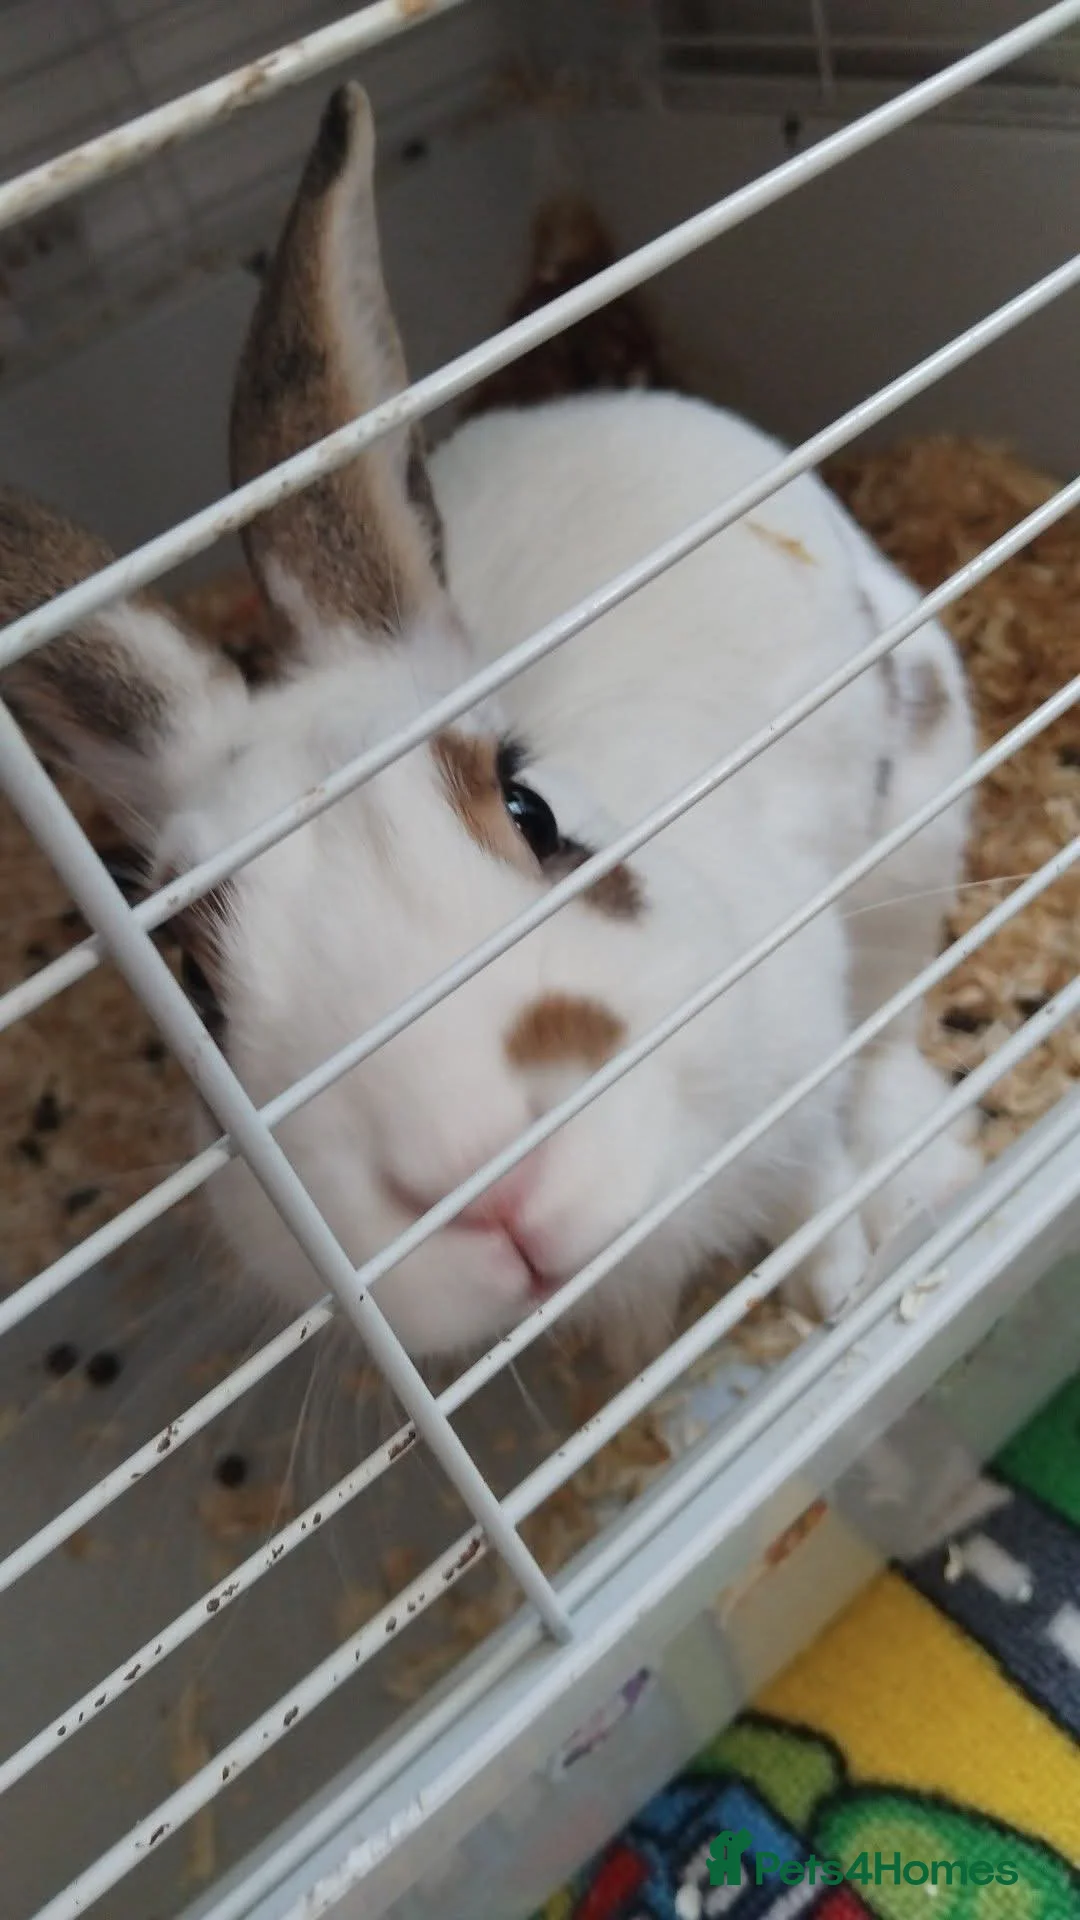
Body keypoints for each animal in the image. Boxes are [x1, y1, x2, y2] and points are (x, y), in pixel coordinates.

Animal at [0, 83, 980, 1378]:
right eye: (195, 990)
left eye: (532, 809)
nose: (481, 1180)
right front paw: (625, 1359)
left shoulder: (797, 1064)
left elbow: (810, 1186)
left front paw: (836, 1293)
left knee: (891, 1029)